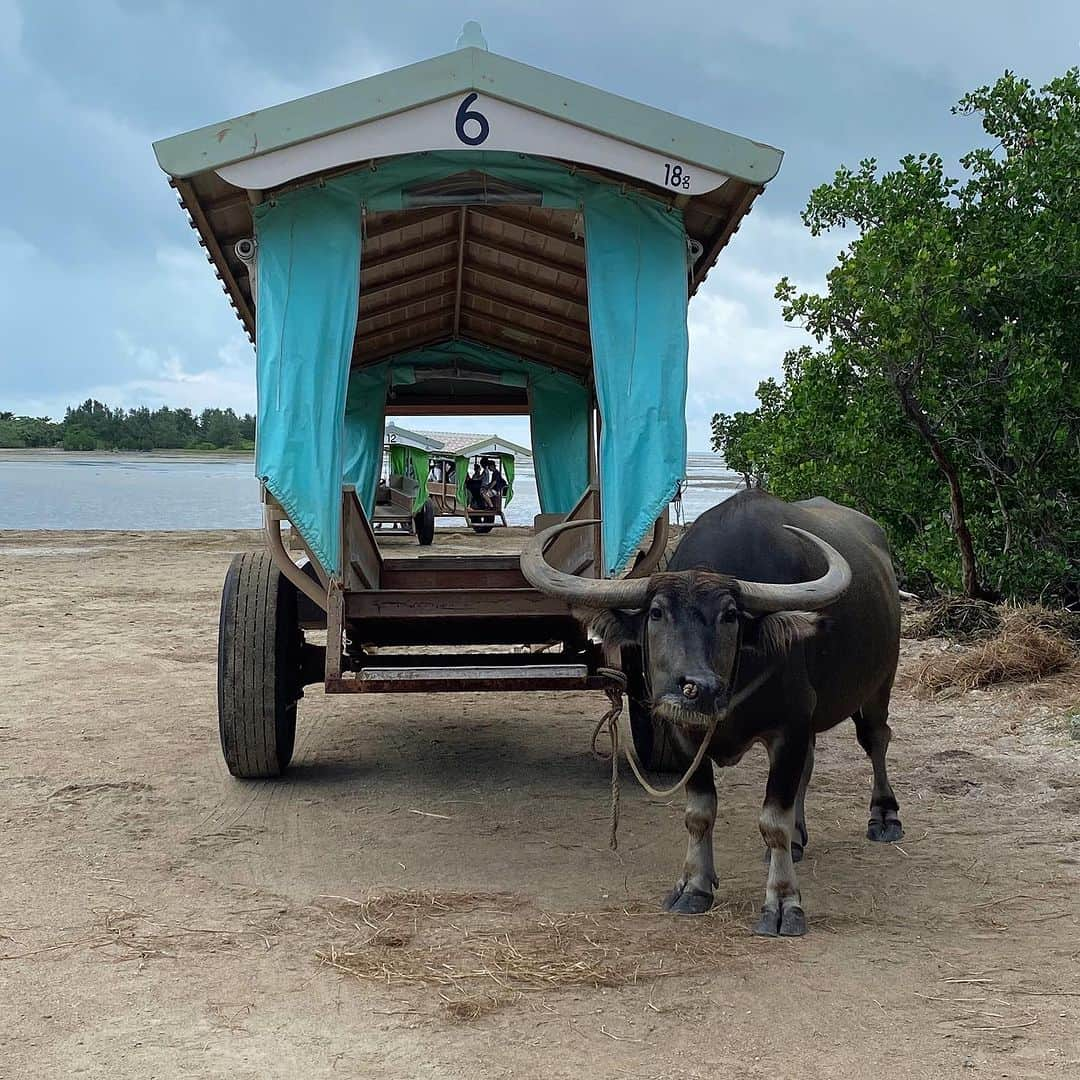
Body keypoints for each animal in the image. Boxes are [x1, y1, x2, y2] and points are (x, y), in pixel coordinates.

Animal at [520, 490, 902, 937]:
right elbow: (699, 813)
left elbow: (773, 819)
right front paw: (694, 887)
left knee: (875, 740)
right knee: (809, 767)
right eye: (656, 612)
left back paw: (885, 818)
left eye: (730, 615)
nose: (697, 689)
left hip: (879, 682)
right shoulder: (684, 732)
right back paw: (798, 839)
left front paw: (783, 903)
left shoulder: (788, 727)